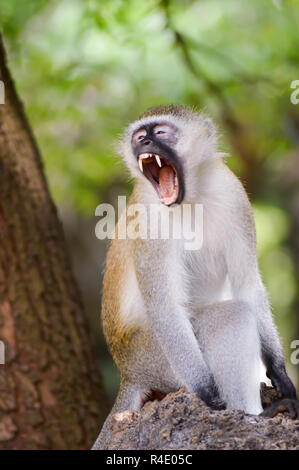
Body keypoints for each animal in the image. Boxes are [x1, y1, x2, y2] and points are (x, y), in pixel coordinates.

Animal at [92, 104, 298, 450]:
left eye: (160, 132)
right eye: (139, 135)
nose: (144, 142)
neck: (192, 197)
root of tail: (128, 371)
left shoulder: (233, 193)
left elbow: (247, 284)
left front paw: (280, 372)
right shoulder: (149, 220)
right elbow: (165, 307)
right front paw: (208, 393)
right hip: (156, 357)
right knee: (229, 316)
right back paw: (252, 415)